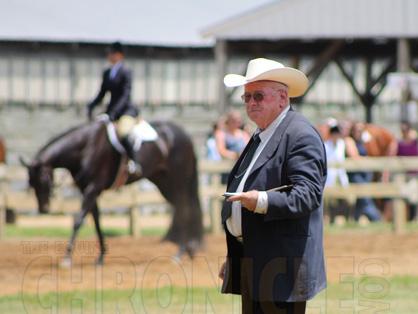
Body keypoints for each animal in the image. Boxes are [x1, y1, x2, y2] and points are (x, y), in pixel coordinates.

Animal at [21, 120, 204, 264]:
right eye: (31, 183)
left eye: (43, 180)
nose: (43, 208)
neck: (86, 147)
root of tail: (184, 135)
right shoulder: (88, 190)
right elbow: (96, 221)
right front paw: (101, 257)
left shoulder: (93, 187)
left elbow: (78, 220)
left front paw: (67, 258)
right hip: (163, 183)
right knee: (182, 208)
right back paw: (189, 249)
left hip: (177, 182)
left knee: (184, 209)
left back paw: (180, 252)